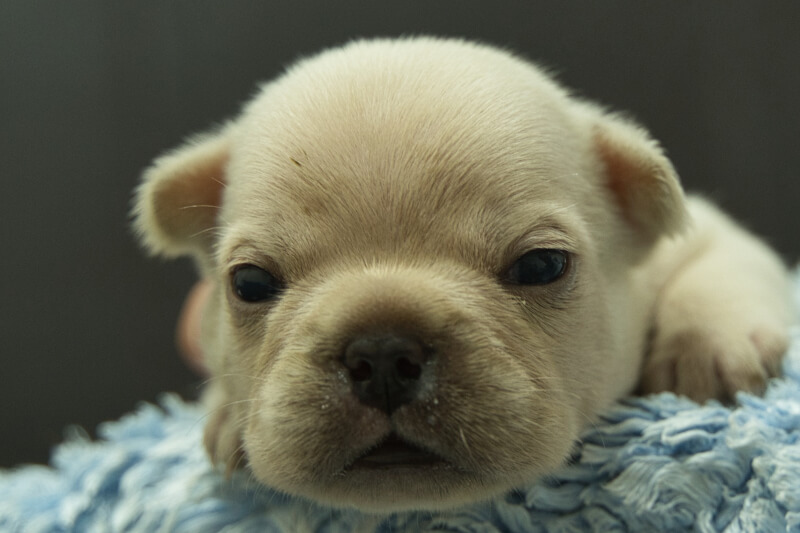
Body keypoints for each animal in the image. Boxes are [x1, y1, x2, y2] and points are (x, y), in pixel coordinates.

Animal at [133, 37, 792, 512]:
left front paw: (707, 347)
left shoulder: (705, 235)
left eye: (541, 266)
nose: (381, 352)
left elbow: (722, 264)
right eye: (250, 283)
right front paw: (226, 411)